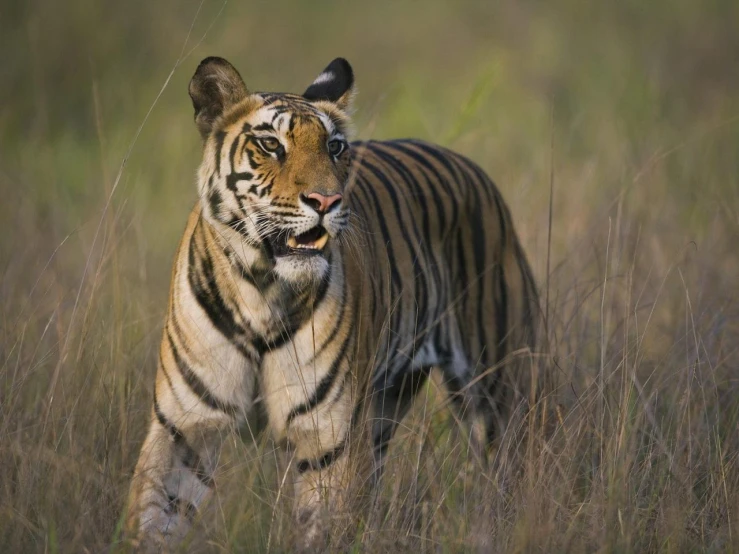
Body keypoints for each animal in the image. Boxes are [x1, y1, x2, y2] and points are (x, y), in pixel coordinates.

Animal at [124, 55, 540, 548]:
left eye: (335, 147)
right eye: (271, 144)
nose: (326, 200)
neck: (261, 290)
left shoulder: (330, 440)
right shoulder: (184, 428)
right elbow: (153, 518)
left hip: (497, 388)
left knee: (509, 471)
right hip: (385, 407)